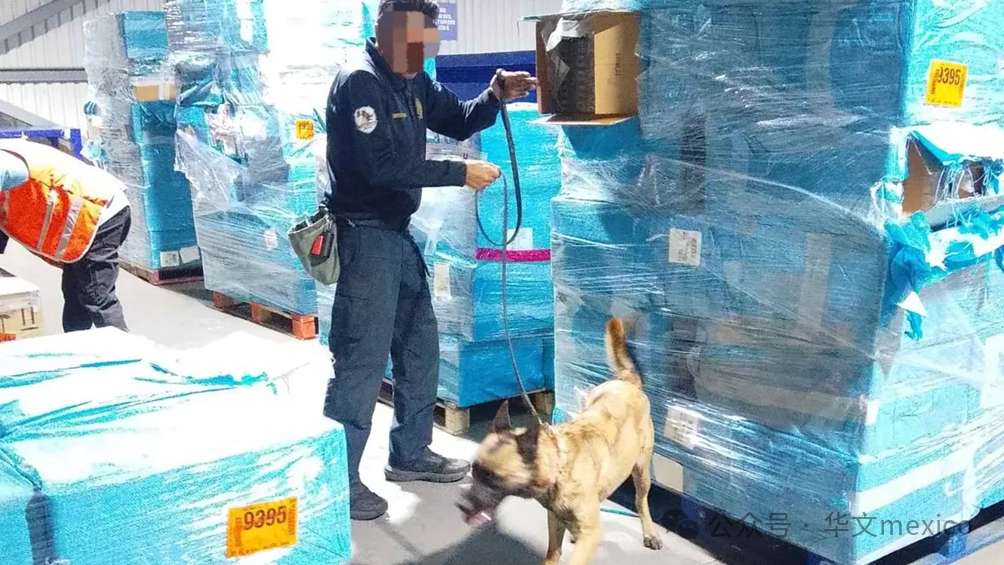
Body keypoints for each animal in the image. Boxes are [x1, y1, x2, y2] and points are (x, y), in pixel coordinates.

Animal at [458, 318, 662, 565]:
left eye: (494, 478)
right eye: (475, 471)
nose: (461, 505)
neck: (558, 466)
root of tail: (626, 382)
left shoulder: (589, 532)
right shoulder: (554, 521)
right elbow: (552, 553)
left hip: (641, 471)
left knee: (641, 501)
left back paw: (649, 532)